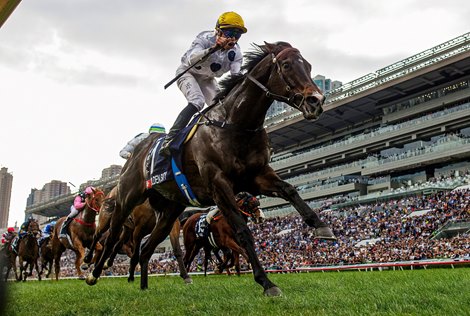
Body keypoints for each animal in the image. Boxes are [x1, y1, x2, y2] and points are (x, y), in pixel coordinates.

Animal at [88, 40, 336, 296]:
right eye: (286, 65)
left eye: (308, 65)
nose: (316, 101)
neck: (235, 124)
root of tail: (137, 151)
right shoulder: (219, 185)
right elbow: (242, 232)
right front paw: (266, 282)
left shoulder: (256, 176)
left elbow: (290, 190)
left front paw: (322, 227)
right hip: (127, 198)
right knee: (111, 236)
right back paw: (93, 273)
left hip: (169, 212)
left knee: (147, 247)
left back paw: (145, 286)